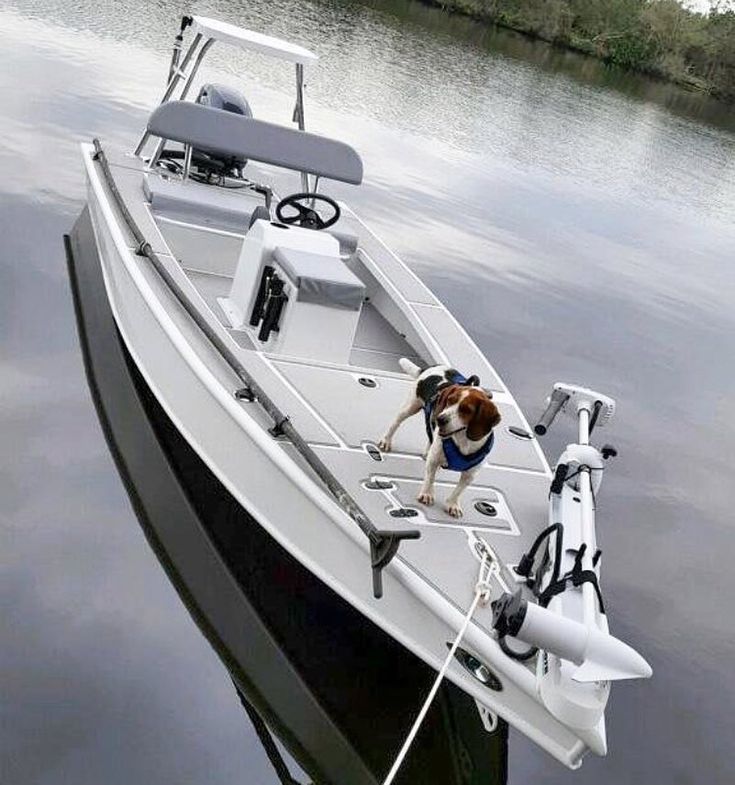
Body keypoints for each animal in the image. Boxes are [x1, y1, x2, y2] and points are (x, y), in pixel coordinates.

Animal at [380, 362, 500, 520]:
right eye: (449, 400)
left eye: (466, 410)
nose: (440, 419)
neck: (463, 440)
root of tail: (432, 367)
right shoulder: (435, 459)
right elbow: (430, 478)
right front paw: (427, 494)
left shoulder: (470, 474)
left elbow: (459, 490)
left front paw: (453, 504)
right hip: (410, 407)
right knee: (395, 423)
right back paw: (386, 441)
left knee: (430, 436)